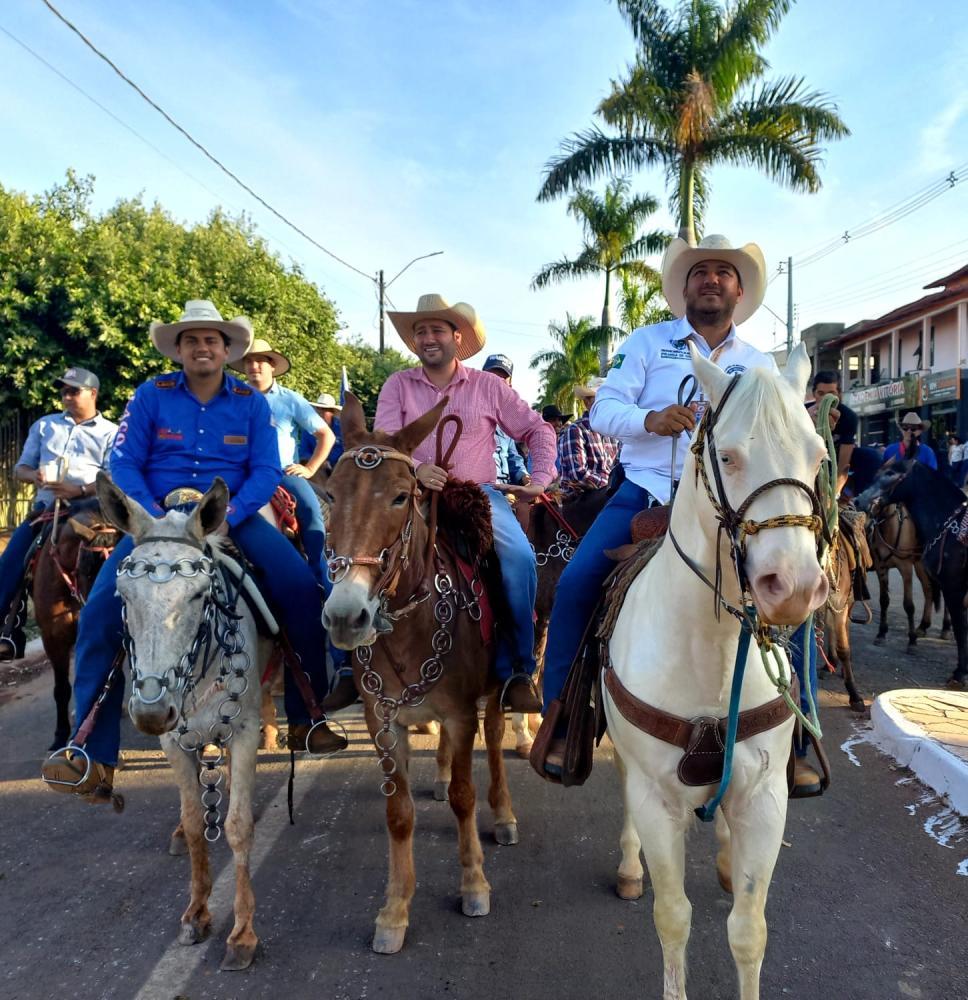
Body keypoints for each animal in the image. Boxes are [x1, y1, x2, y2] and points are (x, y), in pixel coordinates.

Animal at [94, 475, 273, 970]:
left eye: (198, 595)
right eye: (123, 595)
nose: (151, 711)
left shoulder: (243, 732)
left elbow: (237, 827)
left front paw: (243, 933)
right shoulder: (173, 741)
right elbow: (195, 823)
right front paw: (196, 913)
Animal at [322, 393, 517, 955]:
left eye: (400, 497)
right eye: (330, 494)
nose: (346, 616)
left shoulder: (460, 714)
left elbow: (464, 798)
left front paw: (473, 883)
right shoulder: (382, 721)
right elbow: (399, 814)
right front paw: (395, 909)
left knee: (496, 739)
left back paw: (503, 814)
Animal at [604, 344, 828, 1000]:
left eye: (818, 456)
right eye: (727, 456)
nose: (794, 586)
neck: (713, 649)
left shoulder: (766, 796)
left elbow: (748, 929)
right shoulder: (656, 799)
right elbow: (673, 918)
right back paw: (628, 867)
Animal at [867, 502, 949, 647]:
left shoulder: (906, 568)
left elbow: (909, 605)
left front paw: (912, 640)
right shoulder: (881, 567)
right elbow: (884, 600)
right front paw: (881, 633)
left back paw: (945, 628)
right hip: (921, 565)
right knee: (928, 590)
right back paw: (923, 626)